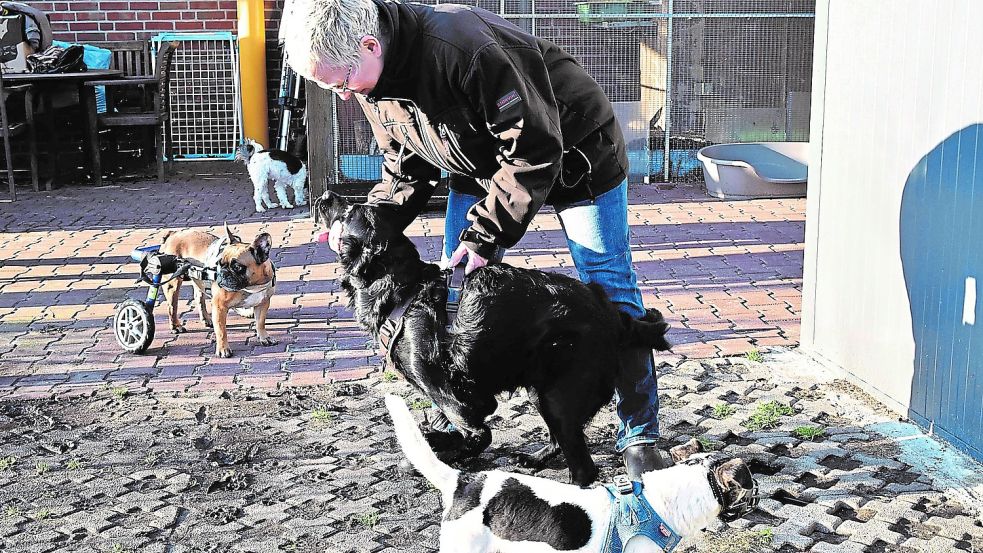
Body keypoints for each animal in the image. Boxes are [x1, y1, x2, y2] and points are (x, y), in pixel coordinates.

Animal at [316, 192, 668, 486]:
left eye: (348, 211)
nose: (325, 195)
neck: (405, 290)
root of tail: (613, 314)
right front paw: (437, 445)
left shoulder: (447, 389)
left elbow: (478, 433)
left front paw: (443, 446)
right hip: (541, 390)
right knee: (559, 440)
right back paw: (534, 459)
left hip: (558, 394)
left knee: (583, 468)